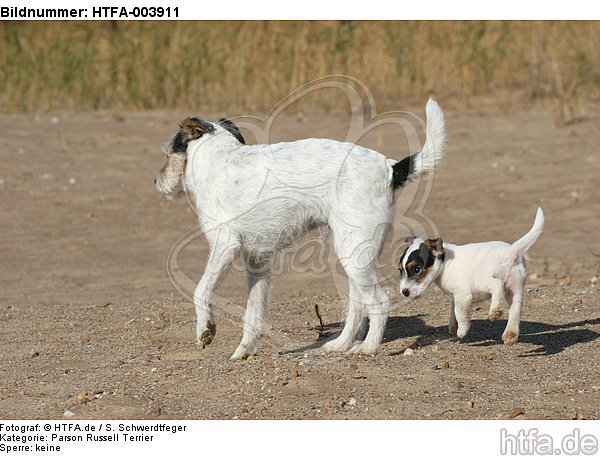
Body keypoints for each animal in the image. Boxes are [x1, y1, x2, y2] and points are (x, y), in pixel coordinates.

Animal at [157, 98, 448, 358]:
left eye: (168, 154)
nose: (156, 182)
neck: (217, 160)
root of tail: (390, 167)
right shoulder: (258, 261)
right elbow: (254, 311)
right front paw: (244, 350)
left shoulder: (224, 245)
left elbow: (201, 290)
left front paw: (205, 331)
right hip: (353, 257)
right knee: (357, 305)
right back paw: (341, 344)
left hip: (352, 253)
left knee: (379, 303)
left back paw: (368, 348)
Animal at [398, 208, 544, 344]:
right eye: (400, 271)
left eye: (417, 269)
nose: (404, 292)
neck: (445, 262)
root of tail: (511, 251)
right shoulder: (456, 296)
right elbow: (453, 309)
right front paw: (452, 325)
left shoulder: (463, 294)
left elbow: (460, 313)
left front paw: (462, 330)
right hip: (515, 288)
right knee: (515, 309)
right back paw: (510, 334)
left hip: (482, 281)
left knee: (497, 285)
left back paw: (494, 311)